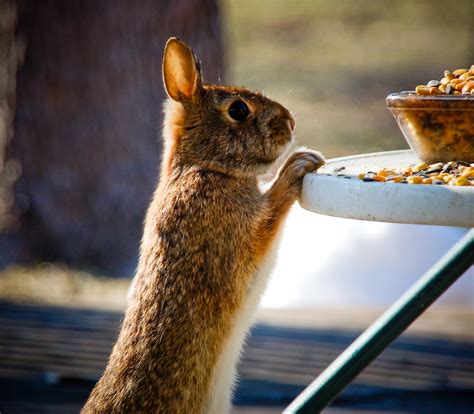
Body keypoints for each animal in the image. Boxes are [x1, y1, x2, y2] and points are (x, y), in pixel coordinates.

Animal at [82, 37, 326, 412]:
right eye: (238, 110)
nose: (290, 122)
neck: (205, 166)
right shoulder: (234, 229)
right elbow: (270, 213)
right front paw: (301, 163)